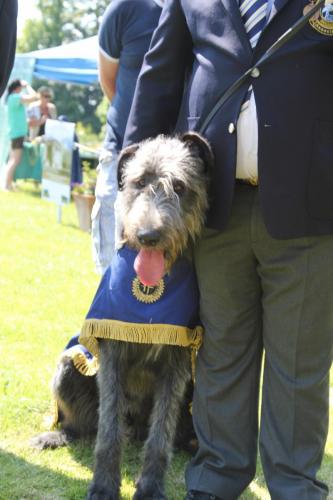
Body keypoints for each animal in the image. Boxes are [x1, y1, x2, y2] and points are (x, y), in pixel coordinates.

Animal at [32, 132, 211, 500]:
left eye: (180, 186)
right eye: (139, 182)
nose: (147, 236)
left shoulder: (178, 360)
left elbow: (161, 435)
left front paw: (151, 486)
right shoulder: (112, 351)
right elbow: (108, 431)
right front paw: (103, 485)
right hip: (70, 365)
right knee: (85, 425)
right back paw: (59, 434)